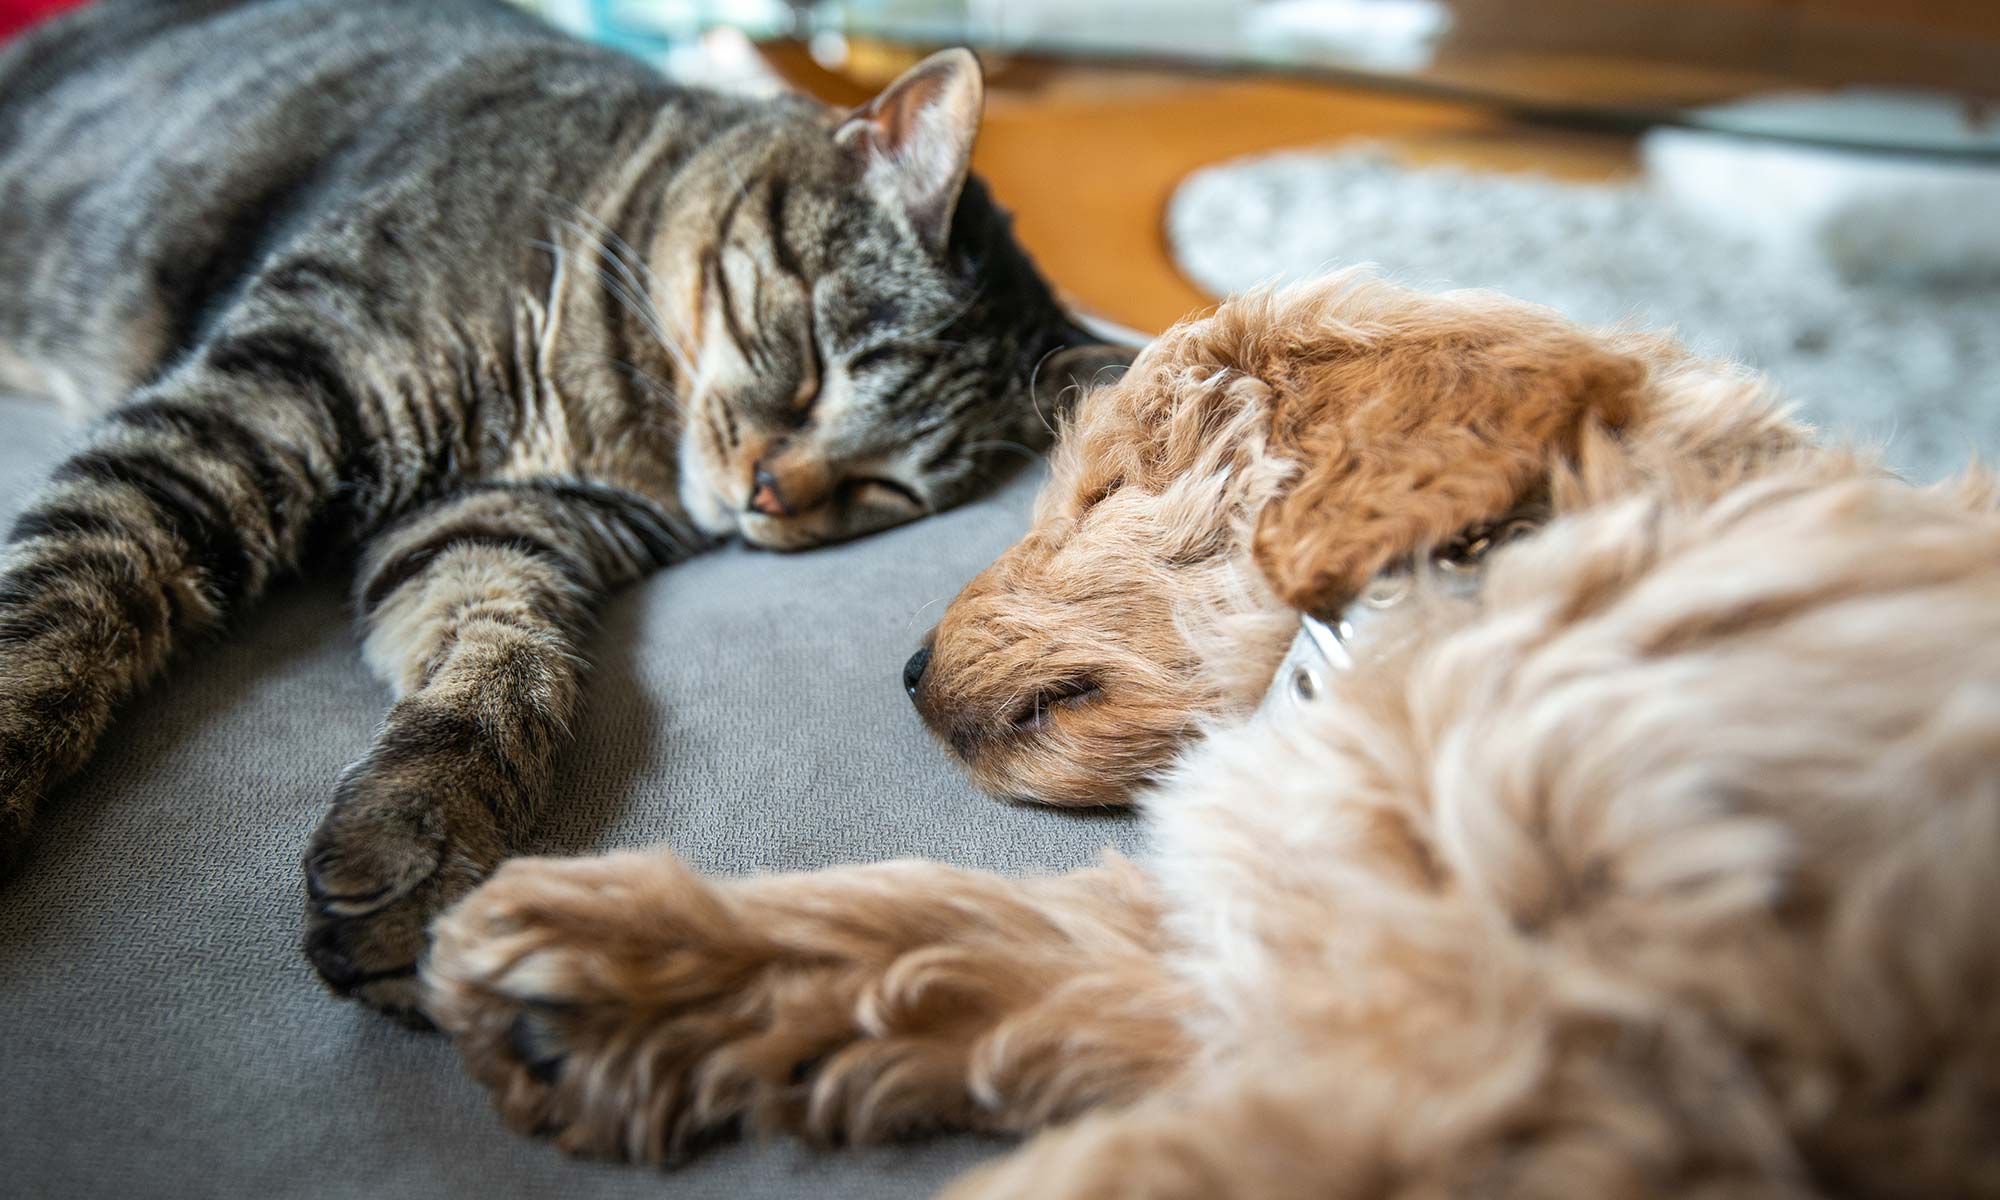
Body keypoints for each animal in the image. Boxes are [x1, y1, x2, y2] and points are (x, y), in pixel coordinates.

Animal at [0, 0, 1112, 1020]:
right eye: (809, 366)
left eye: (883, 488)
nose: (768, 495)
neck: (600, 407)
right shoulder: (262, 402)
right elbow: (70, 589)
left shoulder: (496, 524)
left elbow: (506, 669)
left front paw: (421, 839)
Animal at [422, 278, 2000, 1192]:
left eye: (1108, 486)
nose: (908, 670)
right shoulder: (1287, 929)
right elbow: (966, 928)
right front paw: (621, 967)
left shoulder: (1564, 1054)